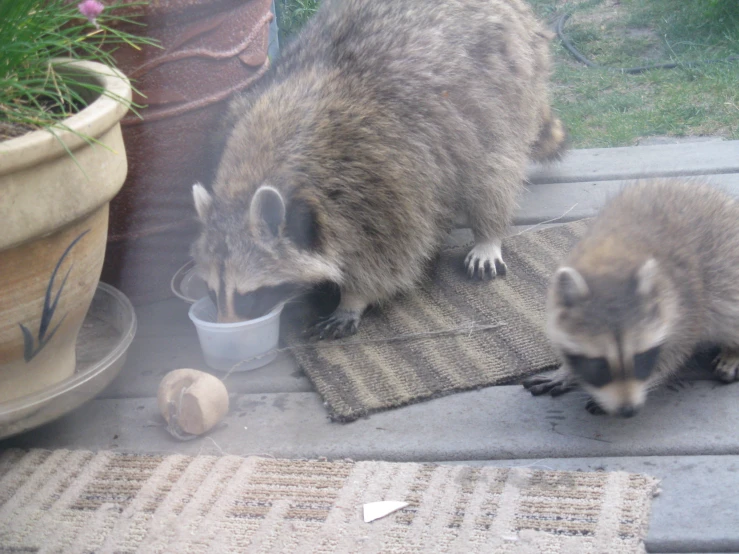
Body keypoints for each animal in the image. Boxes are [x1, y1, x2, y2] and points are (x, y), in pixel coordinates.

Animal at [189, 0, 568, 336]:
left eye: (248, 296)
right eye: (211, 291)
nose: (226, 333)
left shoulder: (384, 176)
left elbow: (393, 252)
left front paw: (353, 299)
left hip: (505, 84)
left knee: (492, 167)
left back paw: (488, 233)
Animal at [524, 179, 739, 416]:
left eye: (639, 358)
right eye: (599, 364)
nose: (628, 410)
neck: (612, 255)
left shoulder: (688, 305)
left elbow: (675, 353)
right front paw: (566, 371)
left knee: (727, 310)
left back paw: (733, 350)